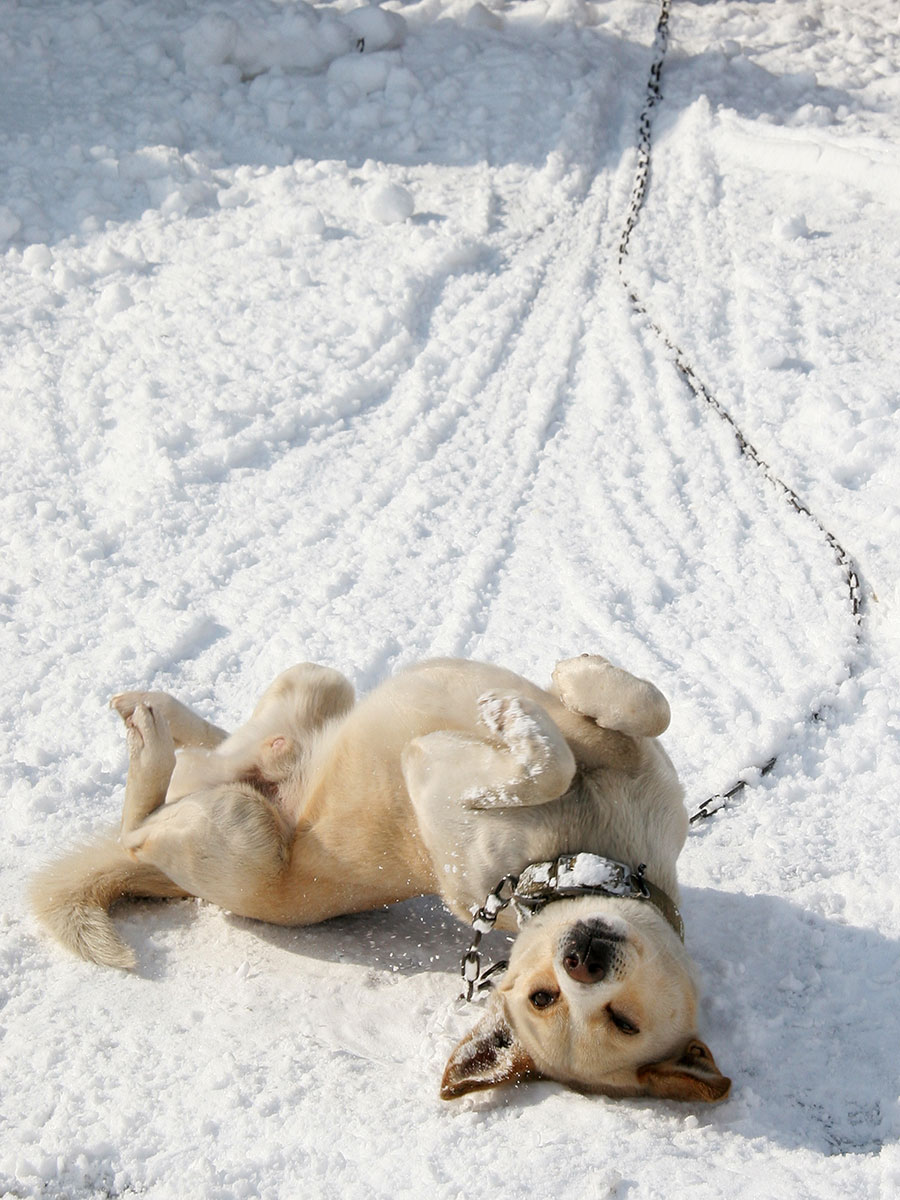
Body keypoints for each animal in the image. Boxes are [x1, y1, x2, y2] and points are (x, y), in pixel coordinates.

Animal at [30, 657, 734, 1104]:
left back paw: (148, 739)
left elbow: (549, 763)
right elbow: (647, 708)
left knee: (143, 819)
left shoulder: (433, 782)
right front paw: (562, 681)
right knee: (230, 742)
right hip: (315, 685)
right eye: (545, 996)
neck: (581, 858)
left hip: (238, 828)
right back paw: (152, 714)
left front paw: (511, 722)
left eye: (619, 1021)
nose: (582, 959)